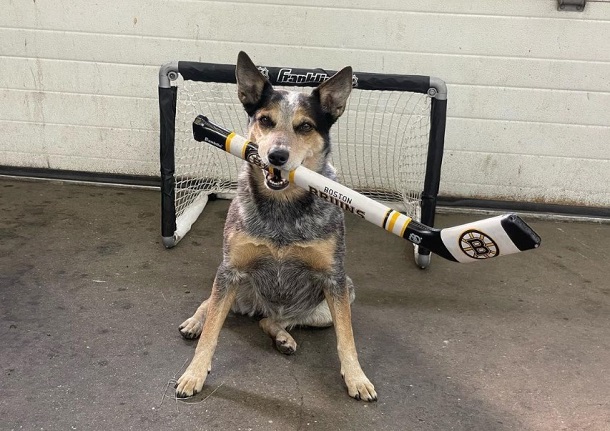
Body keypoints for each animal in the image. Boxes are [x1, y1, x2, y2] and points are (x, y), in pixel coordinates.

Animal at [175, 52, 376, 404]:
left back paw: (283, 337)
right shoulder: (230, 270)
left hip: (328, 306)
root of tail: (258, 307)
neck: (282, 207)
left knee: (272, 321)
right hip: (234, 286)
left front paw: (357, 378)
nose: (277, 156)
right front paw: (194, 373)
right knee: (209, 304)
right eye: (265, 120)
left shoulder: (335, 280)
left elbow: (347, 339)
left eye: (305, 126)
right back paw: (195, 322)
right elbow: (212, 331)